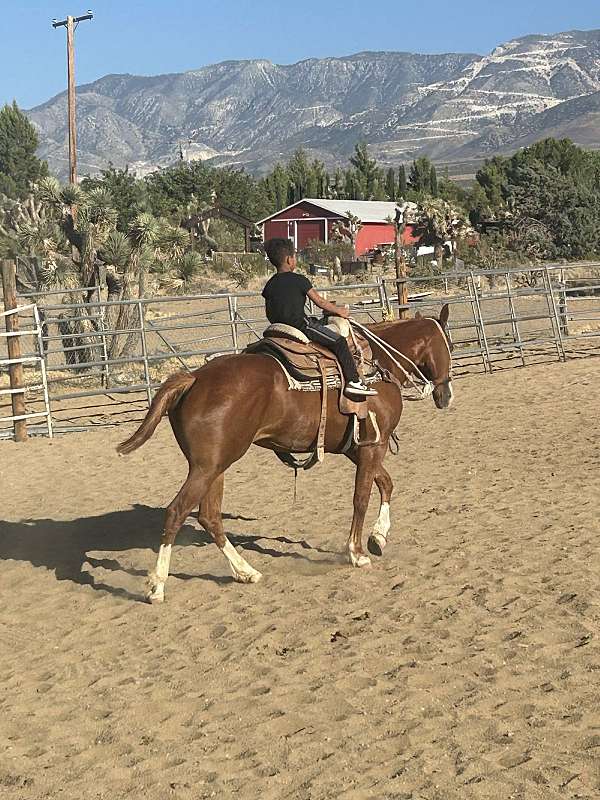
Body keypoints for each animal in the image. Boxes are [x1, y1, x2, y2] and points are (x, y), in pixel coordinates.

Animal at [117, 305, 453, 603]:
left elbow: (385, 484)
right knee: (177, 512)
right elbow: (361, 497)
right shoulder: (373, 445)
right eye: (448, 345)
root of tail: (195, 378)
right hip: (206, 467)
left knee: (209, 516)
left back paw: (245, 571)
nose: (446, 395)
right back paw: (157, 587)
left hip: (214, 467)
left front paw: (378, 538)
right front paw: (357, 553)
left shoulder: (357, 449)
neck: (378, 367)